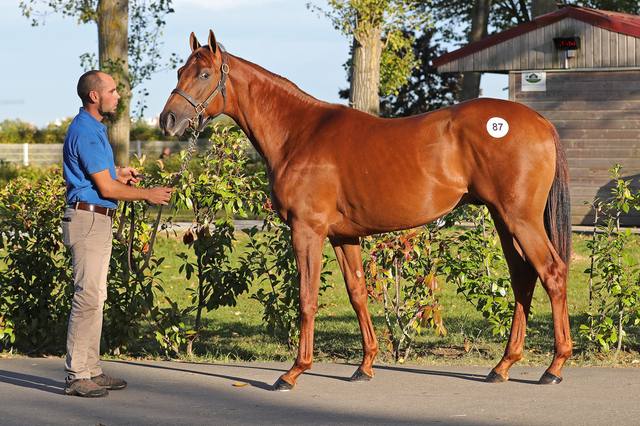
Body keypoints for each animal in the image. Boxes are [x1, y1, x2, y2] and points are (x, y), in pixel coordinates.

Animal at [160, 30, 572, 391]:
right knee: (523, 279)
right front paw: (366, 364)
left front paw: (293, 372)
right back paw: (503, 365)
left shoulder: (307, 230)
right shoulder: (344, 236)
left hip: (520, 219)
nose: (168, 120)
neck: (299, 133)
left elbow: (307, 298)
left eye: (204, 74)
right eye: (179, 71)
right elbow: (357, 292)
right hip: (504, 220)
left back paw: (554, 367)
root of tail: (541, 123)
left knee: (551, 272)